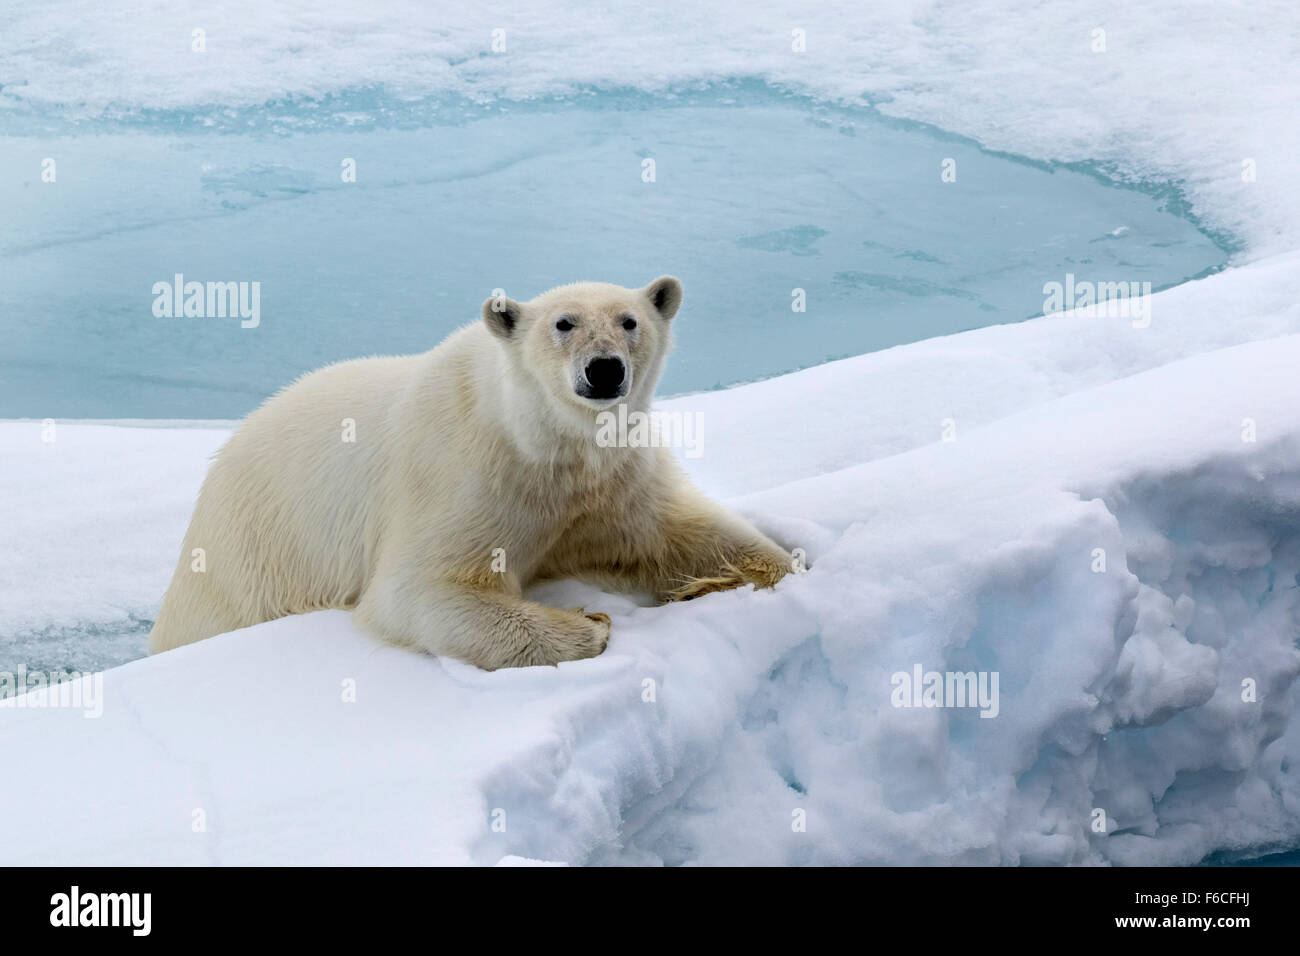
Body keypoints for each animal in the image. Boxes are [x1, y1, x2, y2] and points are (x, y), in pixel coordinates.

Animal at [147, 273, 785, 671]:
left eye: (629, 321)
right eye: (563, 323)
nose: (603, 370)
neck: (544, 443)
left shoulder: (610, 482)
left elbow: (677, 534)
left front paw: (744, 573)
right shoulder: (467, 473)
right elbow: (418, 588)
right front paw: (592, 624)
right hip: (250, 564)